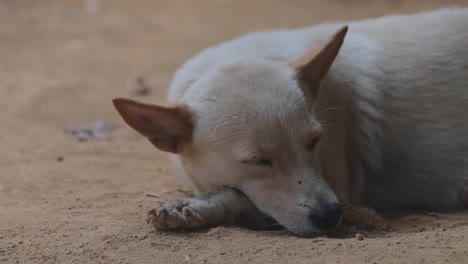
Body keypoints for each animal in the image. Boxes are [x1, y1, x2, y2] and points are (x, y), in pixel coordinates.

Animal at [113, 8, 468, 237]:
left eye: (314, 141)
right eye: (257, 161)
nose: (330, 216)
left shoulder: (343, 188)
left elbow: (240, 197)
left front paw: (196, 208)